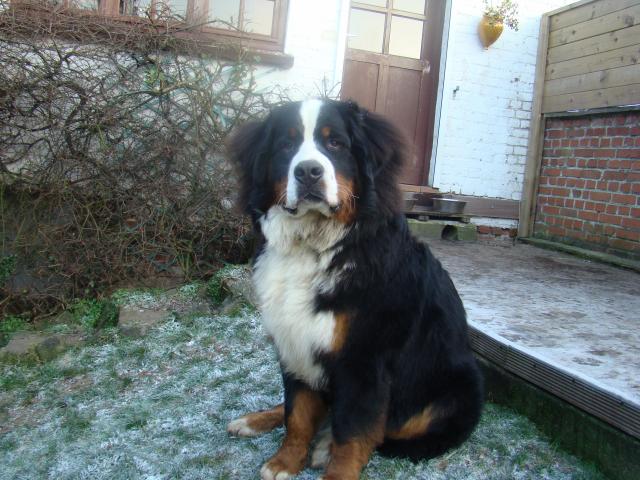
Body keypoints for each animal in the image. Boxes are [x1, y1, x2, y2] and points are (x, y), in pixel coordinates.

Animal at [226, 99, 483, 480]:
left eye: (335, 143)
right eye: (286, 144)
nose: (308, 172)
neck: (315, 248)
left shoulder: (363, 360)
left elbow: (353, 433)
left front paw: (334, 465)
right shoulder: (294, 342)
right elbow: (296, 414)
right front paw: (286, 462)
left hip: (459, 385)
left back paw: (324, 444)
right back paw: (253, 421)